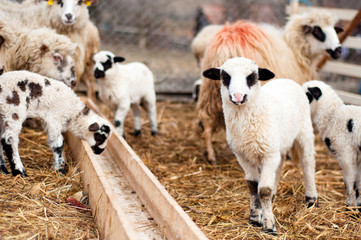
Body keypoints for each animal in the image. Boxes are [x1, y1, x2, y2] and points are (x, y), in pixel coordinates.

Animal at [195, 11, 342, 165]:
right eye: (317, 31)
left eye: (334, 29)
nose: (338, 50)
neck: (296, 51)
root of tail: (226, 45)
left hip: (209, 91)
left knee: (206, 122)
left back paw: (211, 156)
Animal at [204, 57, 316, 234]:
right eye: (225, 77)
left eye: (251, 77)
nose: (238, 96)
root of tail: (287, 80)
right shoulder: (243, 156)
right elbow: (252, 186)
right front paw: (255, 217)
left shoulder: (268, 155)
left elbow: (263, 190)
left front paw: (269, 225)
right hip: (278, 145)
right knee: (280, 165)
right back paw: (275, 195)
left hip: (304, 131)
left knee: (307, 162)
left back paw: (311, 198)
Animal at [302, 79, 360, 207]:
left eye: (307, 95)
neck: (333, 115)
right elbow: (357, 180)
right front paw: (357, 203)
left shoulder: (345, 152)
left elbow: (349, 179)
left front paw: (351, 205)